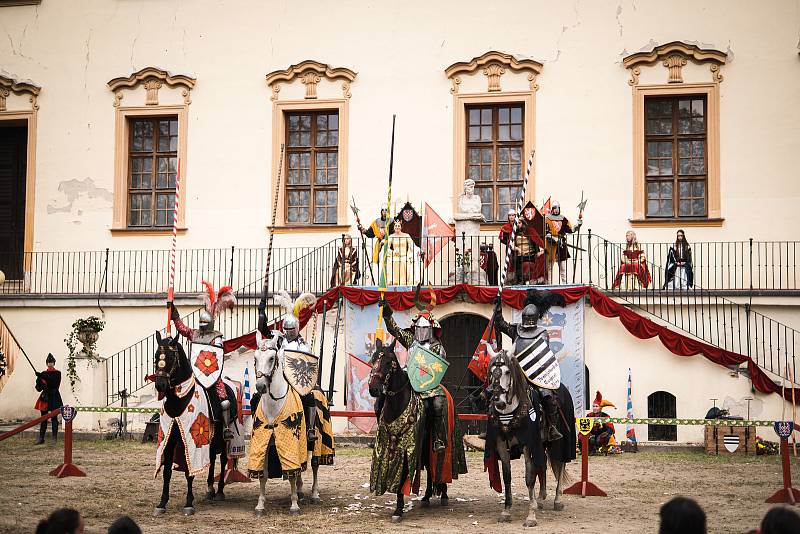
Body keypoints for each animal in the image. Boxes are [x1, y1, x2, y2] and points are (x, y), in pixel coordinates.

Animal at [368, 340, 466, 524]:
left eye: (388, 362)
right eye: (373, 360)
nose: (374, 389)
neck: (397, 404)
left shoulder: (408, 447)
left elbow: (402, 476)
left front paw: (398, 510)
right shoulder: (386, 446)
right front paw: (399, 507)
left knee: (439, 463)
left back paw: (443, 494)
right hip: (426, 443)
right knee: (429, 466)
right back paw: (427, 496)